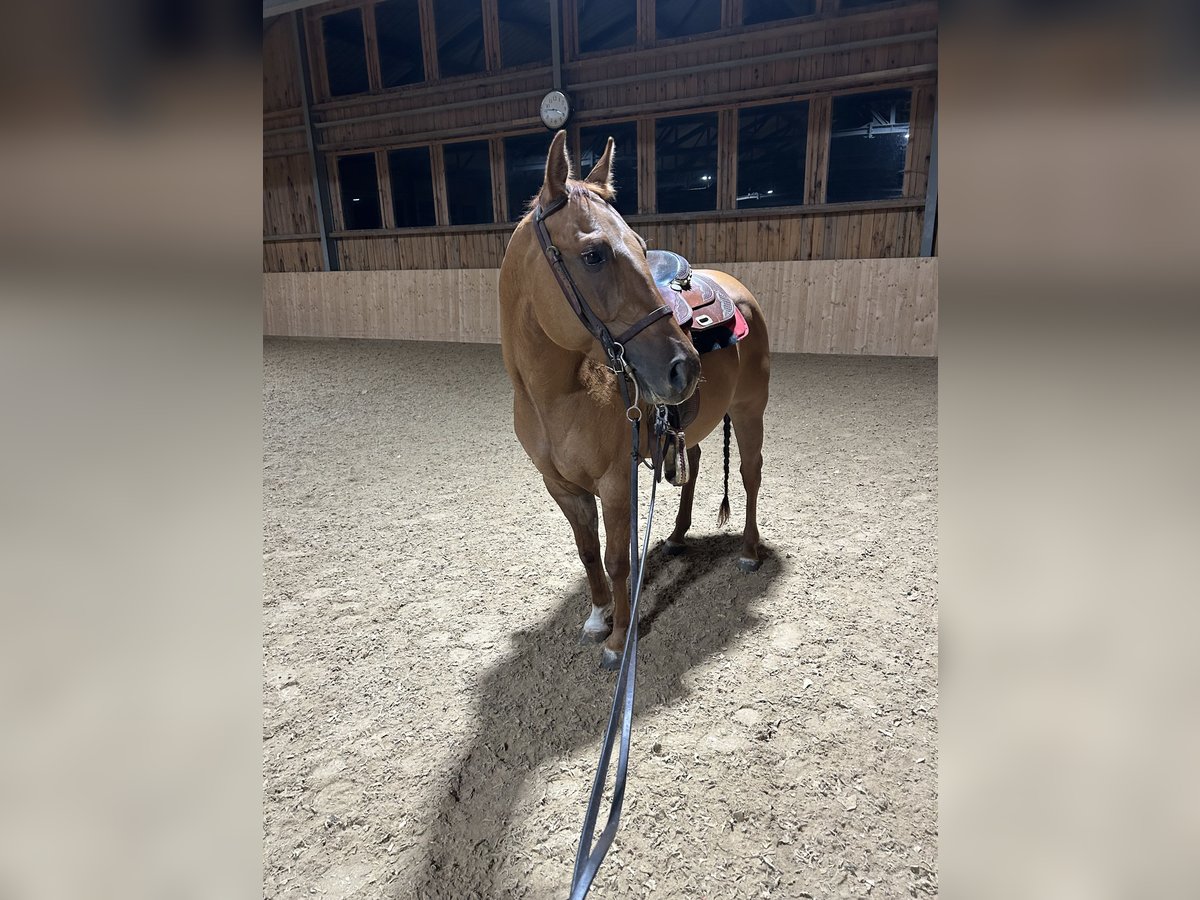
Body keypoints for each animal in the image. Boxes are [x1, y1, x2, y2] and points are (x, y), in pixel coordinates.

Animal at [499, 130, 771, 669]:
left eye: (643, 249)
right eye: (594, 255)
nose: (685, 366)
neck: (557, 395)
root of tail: (737, 289)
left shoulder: (615, 482)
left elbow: (617, 559)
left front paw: (619, 637)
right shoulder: (561, 486)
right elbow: (587, 552)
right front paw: (598, 616)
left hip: (751, 412)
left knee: (750, 474)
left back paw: (750, 551)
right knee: (696, 462)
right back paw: (677, 537)